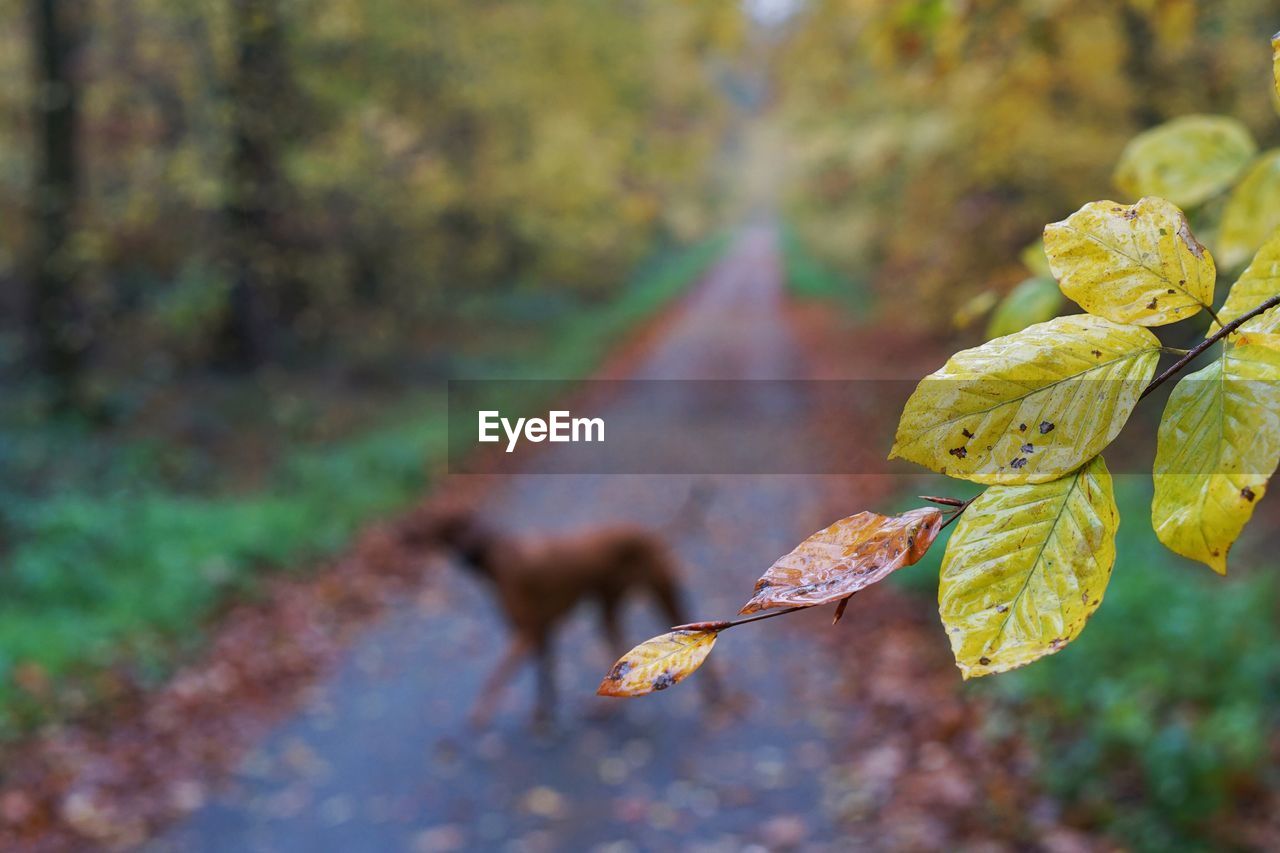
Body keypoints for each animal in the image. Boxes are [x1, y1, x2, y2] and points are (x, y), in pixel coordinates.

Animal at [407, 504, 701, 722]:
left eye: (431, 520)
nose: (407, 532)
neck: (497, 555)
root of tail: (649, 532)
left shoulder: (527, 634)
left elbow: (494, 679)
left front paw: (480, 715)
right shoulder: (541, 634)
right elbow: (545, 678)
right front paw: (544, 716)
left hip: (656, 601)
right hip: (627, 607)